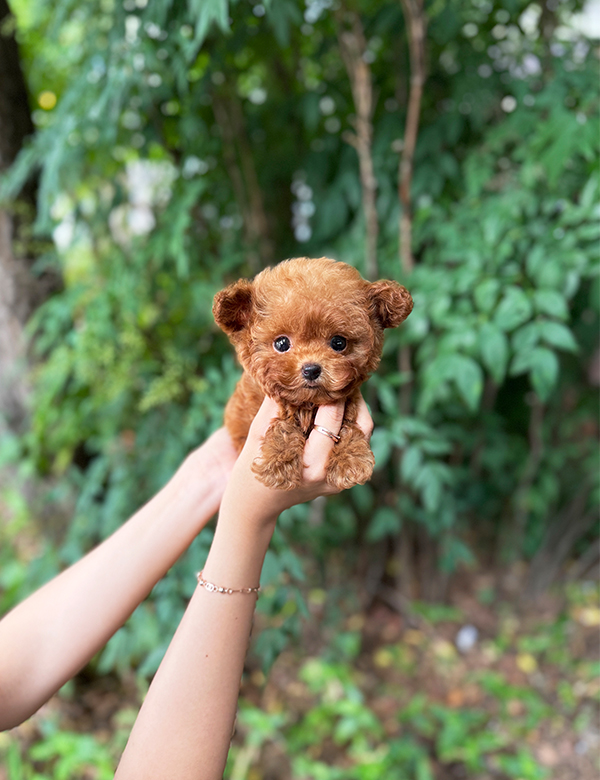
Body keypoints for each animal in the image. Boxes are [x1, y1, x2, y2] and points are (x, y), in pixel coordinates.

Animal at [213, 258, 414, 490]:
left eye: (339, 343)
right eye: (281, 344)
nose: (311, 370)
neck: (309, 404)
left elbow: (348, 423)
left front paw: (350, 460)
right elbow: (284, 424)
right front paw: (278, 463)